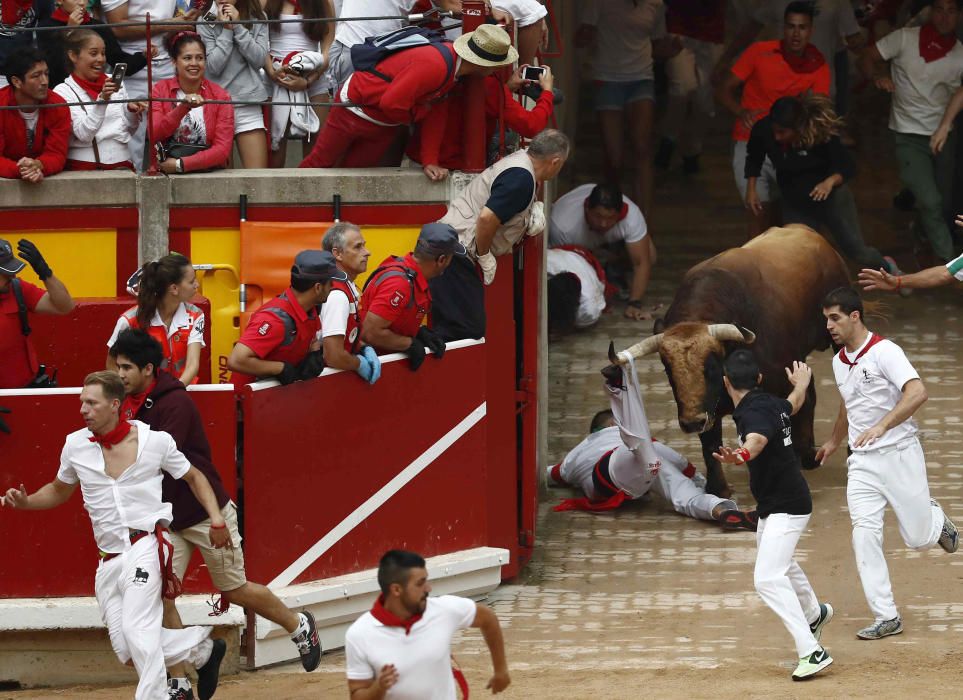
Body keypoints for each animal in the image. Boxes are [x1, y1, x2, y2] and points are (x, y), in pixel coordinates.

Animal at [612, 227, 848, 494]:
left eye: (712, 366)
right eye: (667, 368)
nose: (691, 423)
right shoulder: (708, 411)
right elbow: (710, 445)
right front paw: (718, 489)